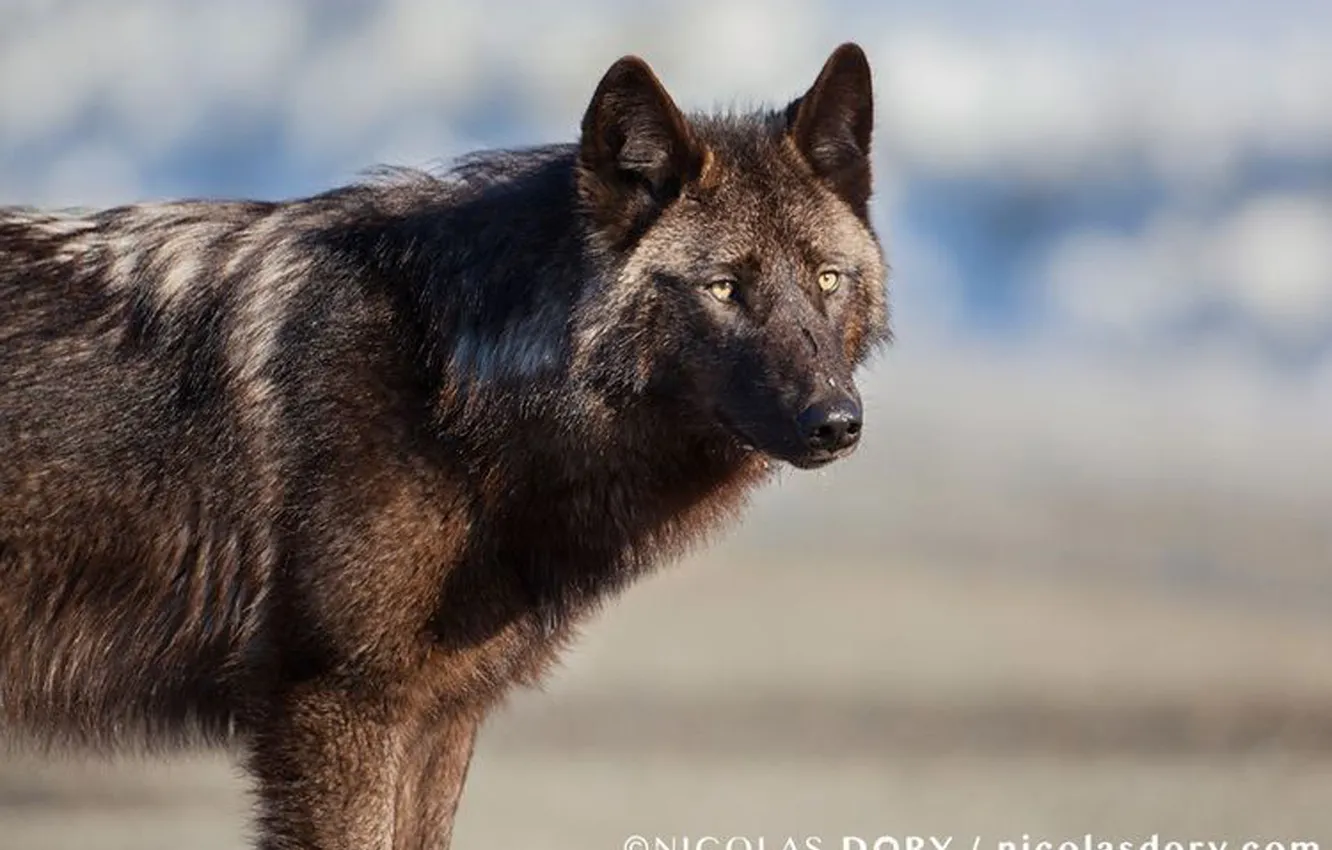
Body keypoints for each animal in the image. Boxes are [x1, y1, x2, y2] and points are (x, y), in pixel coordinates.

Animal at [0, 43, 888, 848]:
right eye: (725, 289)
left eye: (827, 279)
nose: (836, 422)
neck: (452, 388)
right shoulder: (341, 707)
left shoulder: (440, 715)